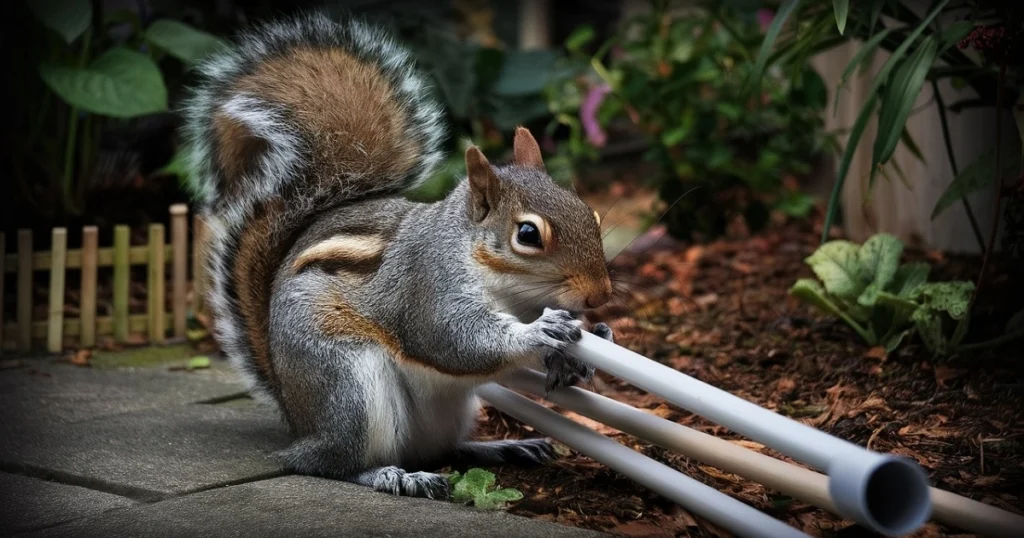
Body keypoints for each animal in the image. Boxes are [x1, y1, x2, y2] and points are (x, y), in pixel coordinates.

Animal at [182, 11, 614, 500]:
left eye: (590, 211)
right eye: (527, 234)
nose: (600, 295)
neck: (513, 292)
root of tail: (296, 418)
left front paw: (587, 343)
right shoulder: (426, 284)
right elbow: (455, 340)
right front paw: (541, 331)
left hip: (451, 410)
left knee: (440, 449)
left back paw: (501, 447)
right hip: (347, 386)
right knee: (327, 462)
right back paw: (390, 475)